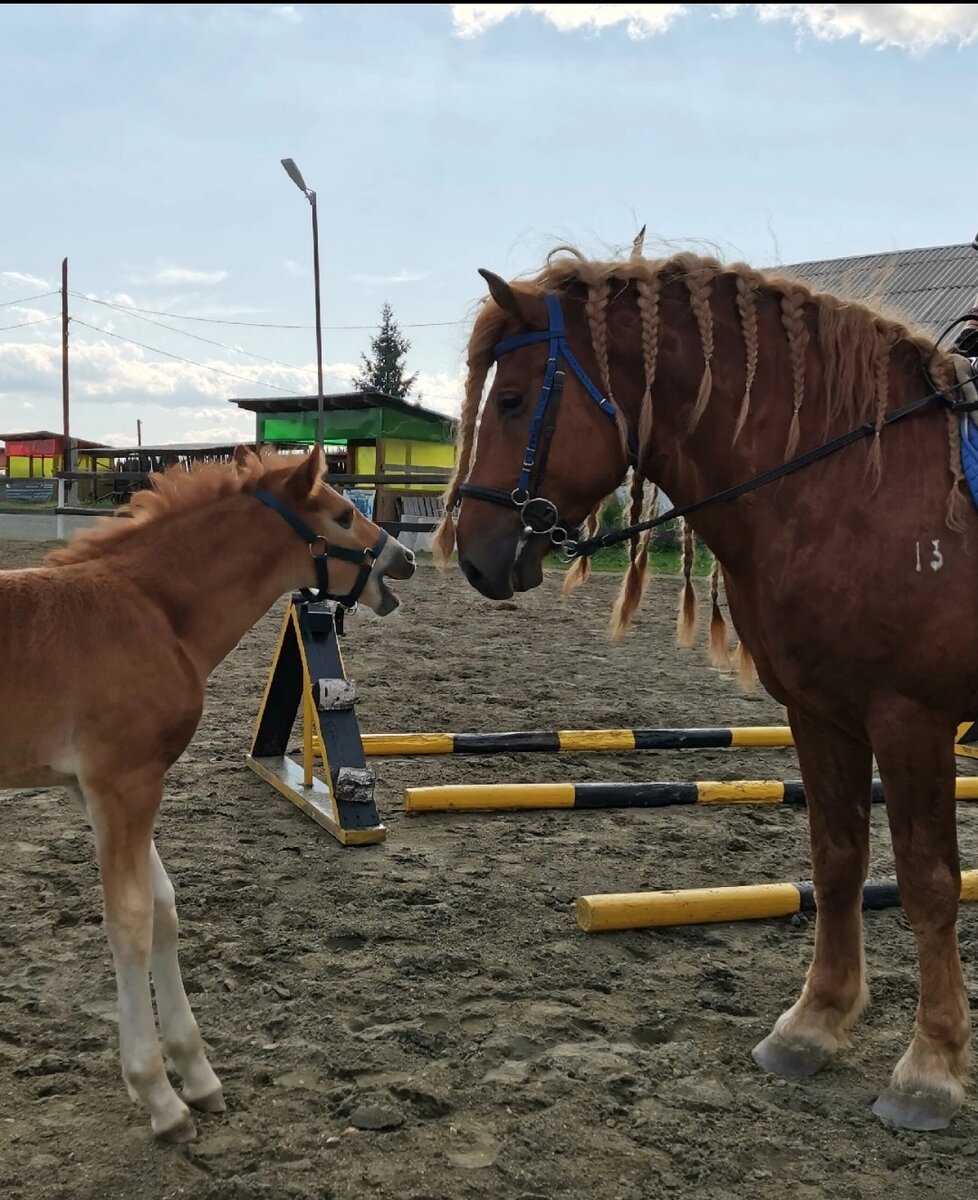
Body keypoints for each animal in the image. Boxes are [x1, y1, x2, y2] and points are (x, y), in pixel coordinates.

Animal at [439, 248, 978, 1128]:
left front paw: (930, 1067)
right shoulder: (821, 715)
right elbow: (837, 861)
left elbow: (929, 884)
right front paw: (813, 1025)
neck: (861, 486)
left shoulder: (912, 720)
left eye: (513, 400)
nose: (477, 555)